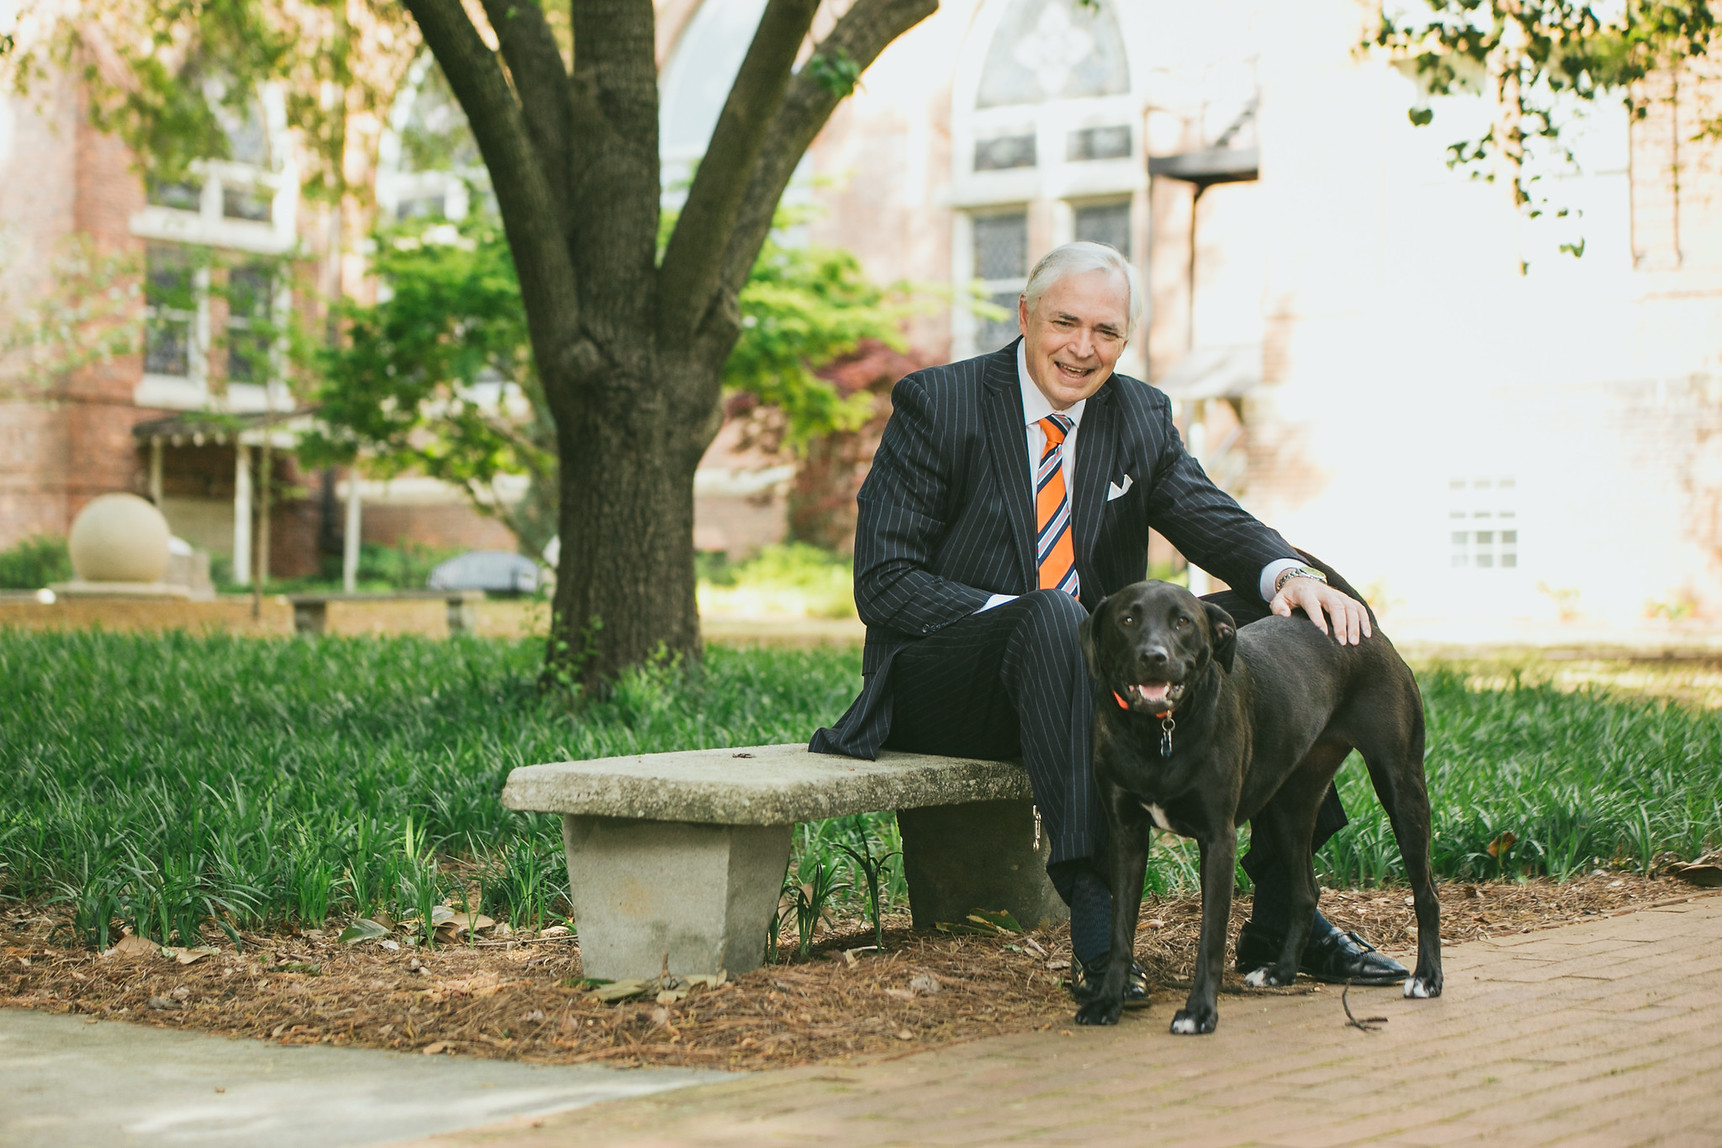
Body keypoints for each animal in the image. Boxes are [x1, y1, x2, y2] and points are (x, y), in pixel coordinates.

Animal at [1074, 574, 1439, 1032]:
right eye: (1126, 620)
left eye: (1183, 622)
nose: (1154, 657)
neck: (1157, 732)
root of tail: (1365, 624)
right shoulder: (1126, 836)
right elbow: (1120, 932)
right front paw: (1108, 1001)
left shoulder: (1218, 839)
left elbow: (1210, 938)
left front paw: (1199, 1012)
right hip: (1290, 810)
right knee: (1306, 891)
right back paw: (1281, 971)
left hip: (1401, 787)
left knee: (1426, 891)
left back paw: (1427, 978)